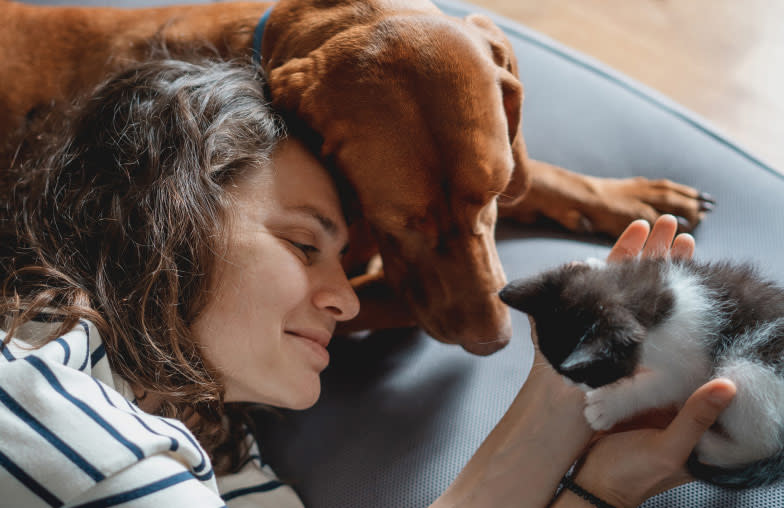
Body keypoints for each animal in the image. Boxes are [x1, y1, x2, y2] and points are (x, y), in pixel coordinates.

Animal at [0, 0, 712, 356]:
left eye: (488, 195)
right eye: (401, 220)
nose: (494, 341)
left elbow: (540, 177)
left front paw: (632, 195)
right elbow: (378, 301)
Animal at [500, 258, 784, 488]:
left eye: (586, 375)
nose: (570, 383)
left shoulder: (691, 367)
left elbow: (659, 387)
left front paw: (606, 405)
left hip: (746, 371)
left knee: (761, 443)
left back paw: (709, 444)